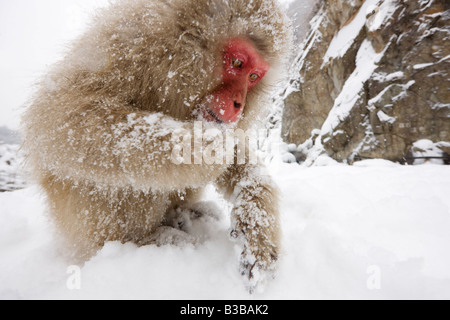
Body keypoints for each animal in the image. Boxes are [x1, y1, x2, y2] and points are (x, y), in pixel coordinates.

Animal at [22, 0, 292, 288]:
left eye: (253, 76)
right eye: (237, 62)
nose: (238, 104)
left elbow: (238, 154)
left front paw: (257, 226)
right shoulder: (129, 43)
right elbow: (59, 113)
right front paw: (200, 149)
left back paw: (185, 214)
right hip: (78, 224)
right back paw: (146, 240)